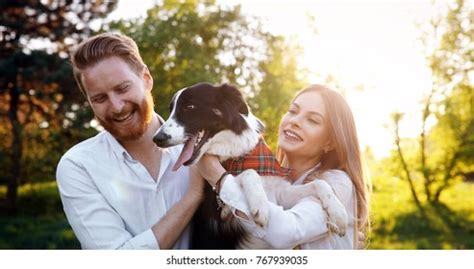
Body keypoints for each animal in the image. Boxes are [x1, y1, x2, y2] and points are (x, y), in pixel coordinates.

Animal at [153, 82, 348, 248]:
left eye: (190, 107)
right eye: (171, 110)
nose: (157, 139)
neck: (238, 154)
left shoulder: (279, 194)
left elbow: (320, 183)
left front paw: (339, 212)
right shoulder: (217, 209)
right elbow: (248, 173)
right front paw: (259, 204)